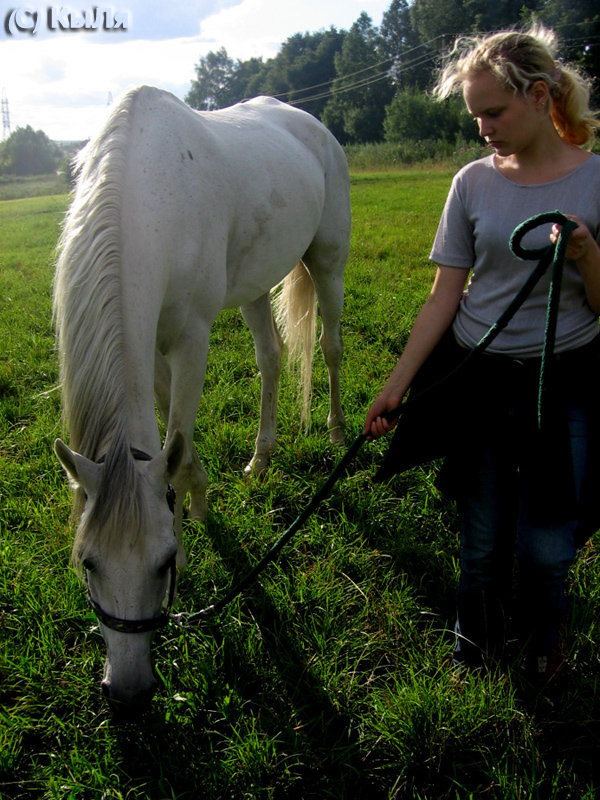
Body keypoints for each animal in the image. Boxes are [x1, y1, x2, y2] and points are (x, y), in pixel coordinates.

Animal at [55, 89, 352, 712]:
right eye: (87, 562)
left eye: (163, 563)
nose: (129, 694)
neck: (148, 199)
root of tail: (311, 125)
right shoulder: (154, 354)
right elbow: (176, 444)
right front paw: (196, 500)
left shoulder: (191, 340)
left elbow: (179, 440)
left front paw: (191, 517)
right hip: (256, 287)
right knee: (271, 359)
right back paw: (261, 457)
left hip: (328, 262)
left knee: (330, 347)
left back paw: (338, 431)